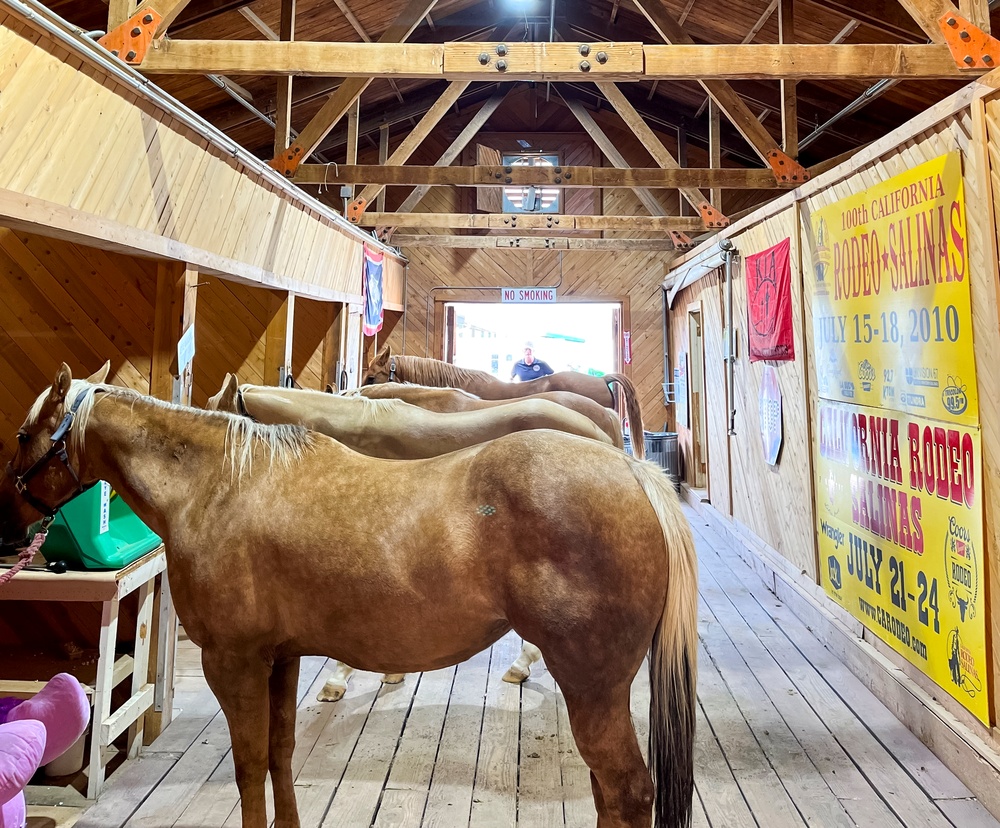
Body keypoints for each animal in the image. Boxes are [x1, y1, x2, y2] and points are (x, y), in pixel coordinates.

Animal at [3, 366, 700, 828]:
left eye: (21, 433)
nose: (8, 527)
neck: (221, 485)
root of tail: (630, 470)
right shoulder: (279, 659)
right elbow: (278, 755)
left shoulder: (234, 662)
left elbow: (248, 763)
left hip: (593, 689)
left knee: (628, 792)